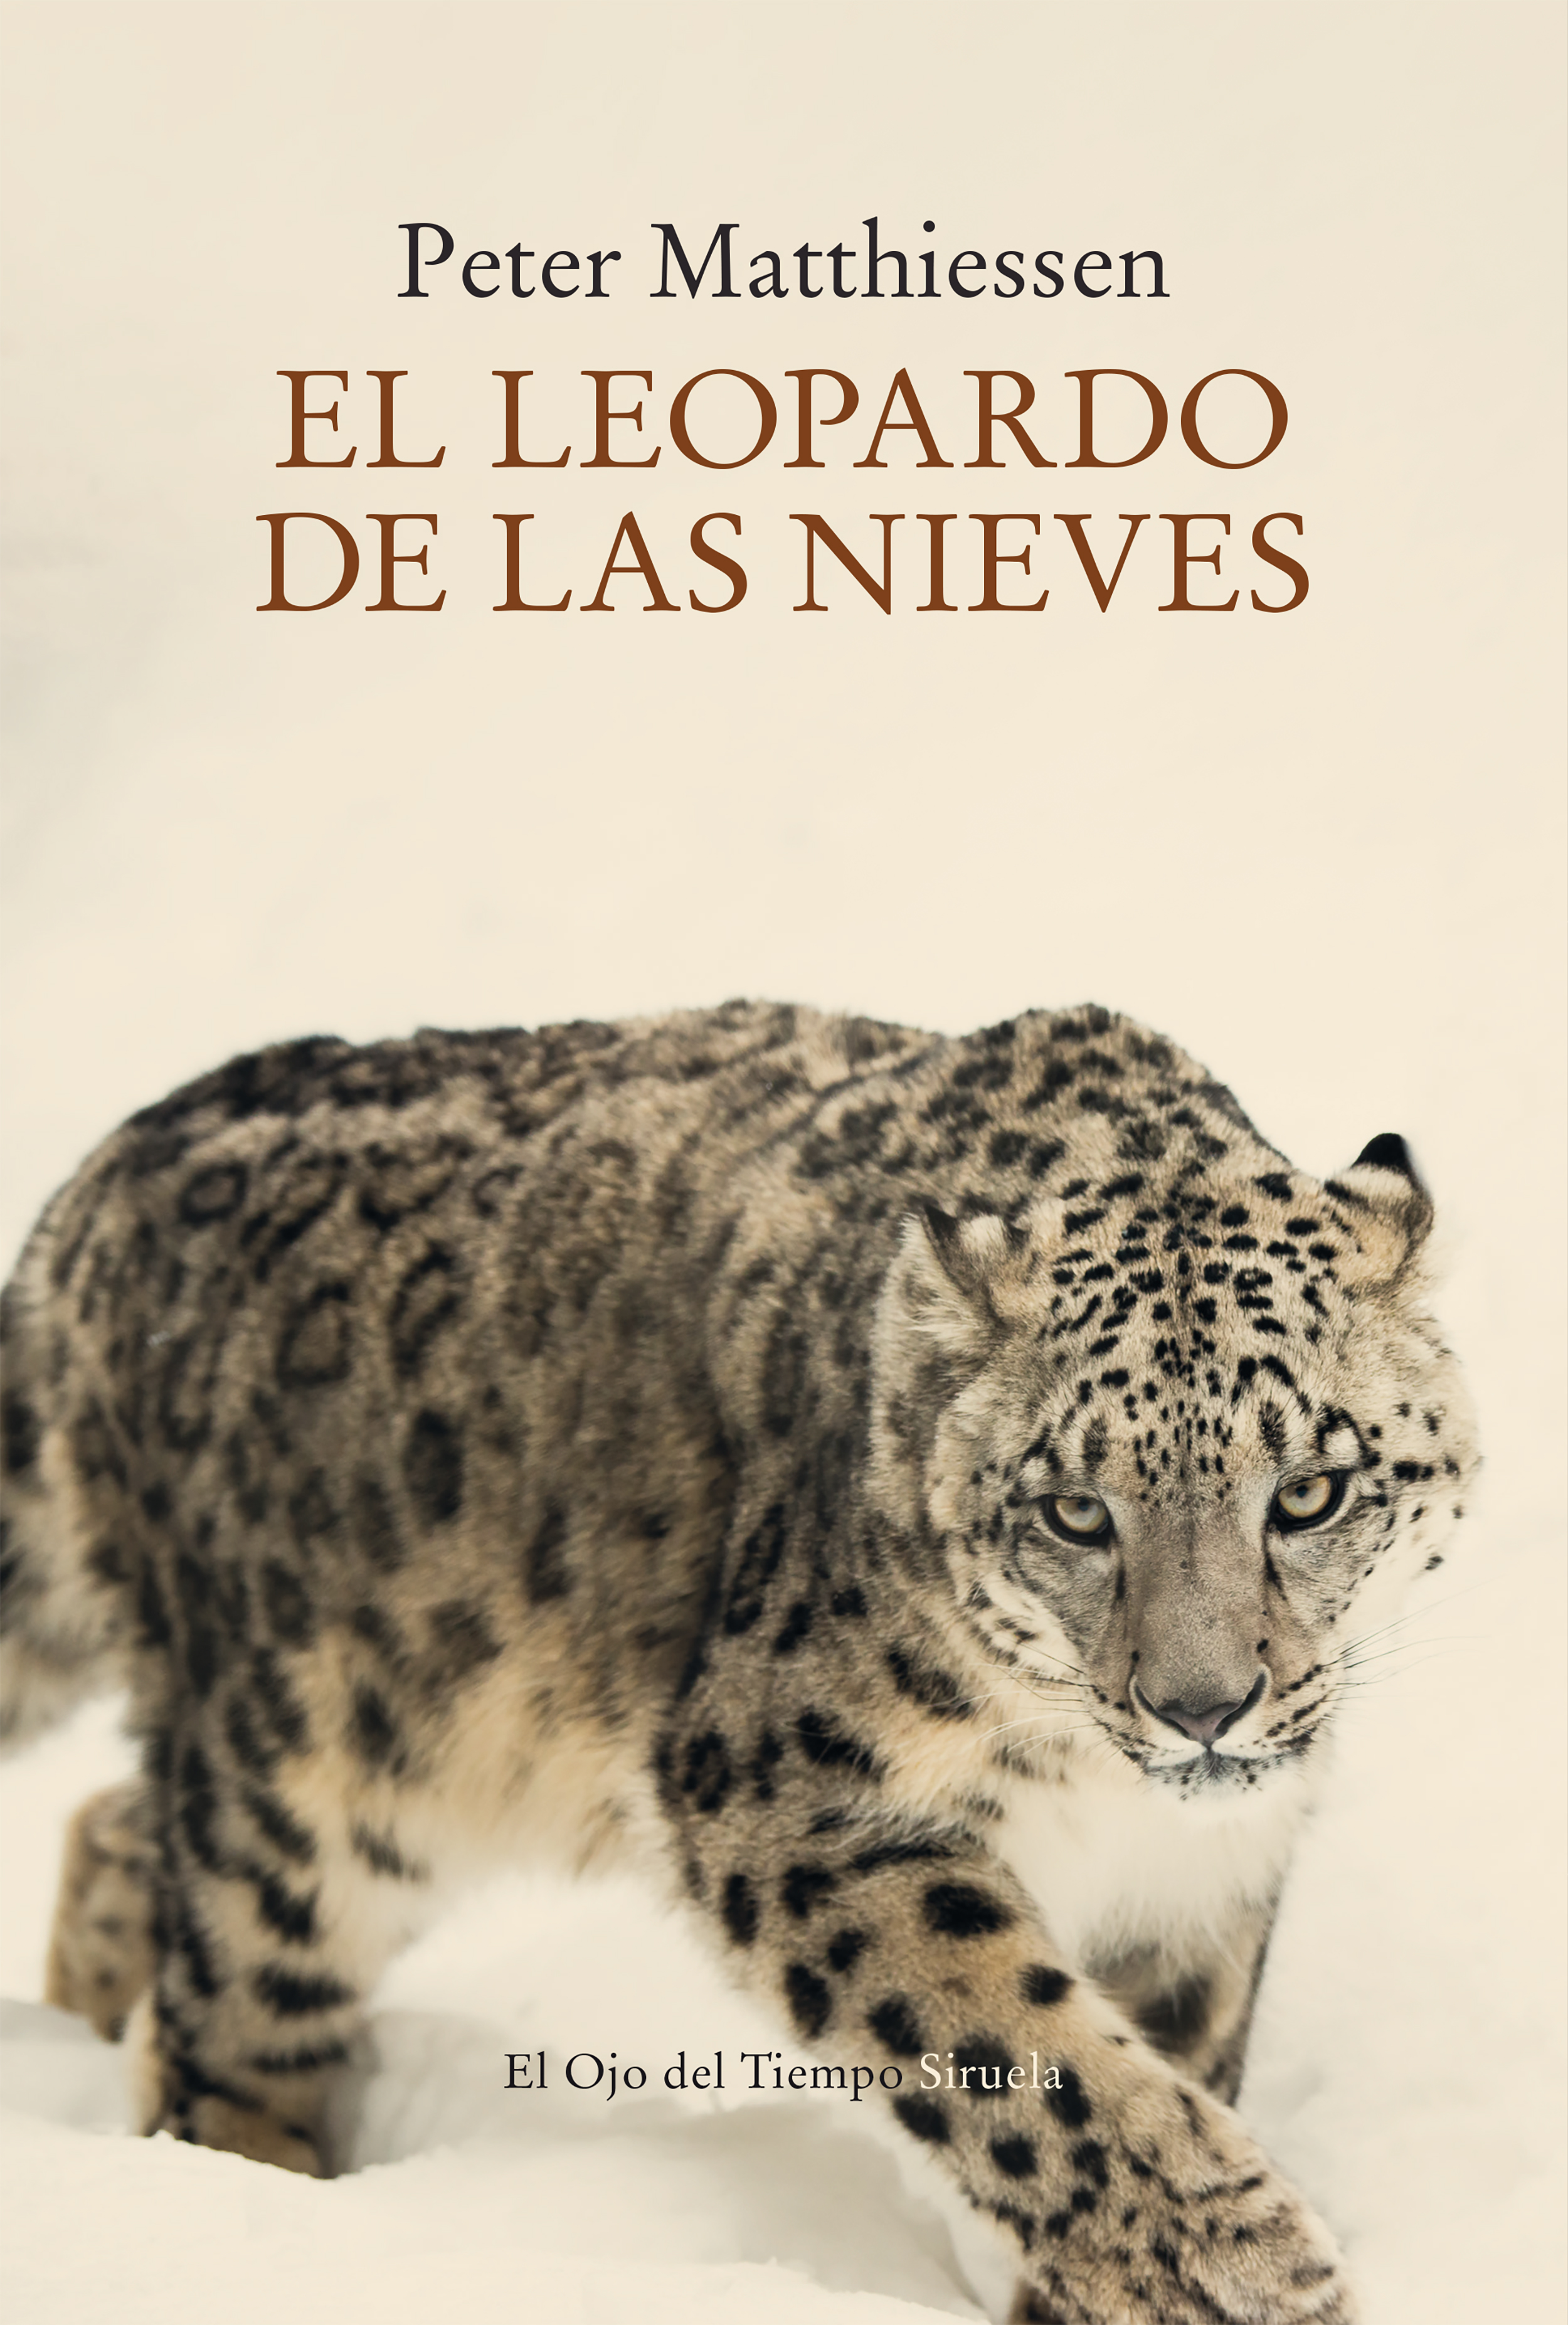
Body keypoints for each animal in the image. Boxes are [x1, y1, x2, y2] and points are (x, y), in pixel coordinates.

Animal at [0, 999, 1478, 2325]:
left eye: (1309, 1490)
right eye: (1073, 1510)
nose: (1200, 1706)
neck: (1103, 1797)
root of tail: (103, 1176)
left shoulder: (1201, 1885)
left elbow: (1169, 2056)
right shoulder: (792, 1798)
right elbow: (1022, 2052)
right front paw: (1251, 2270)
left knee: (122, 1824)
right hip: (302, 1786)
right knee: (228, 2012)